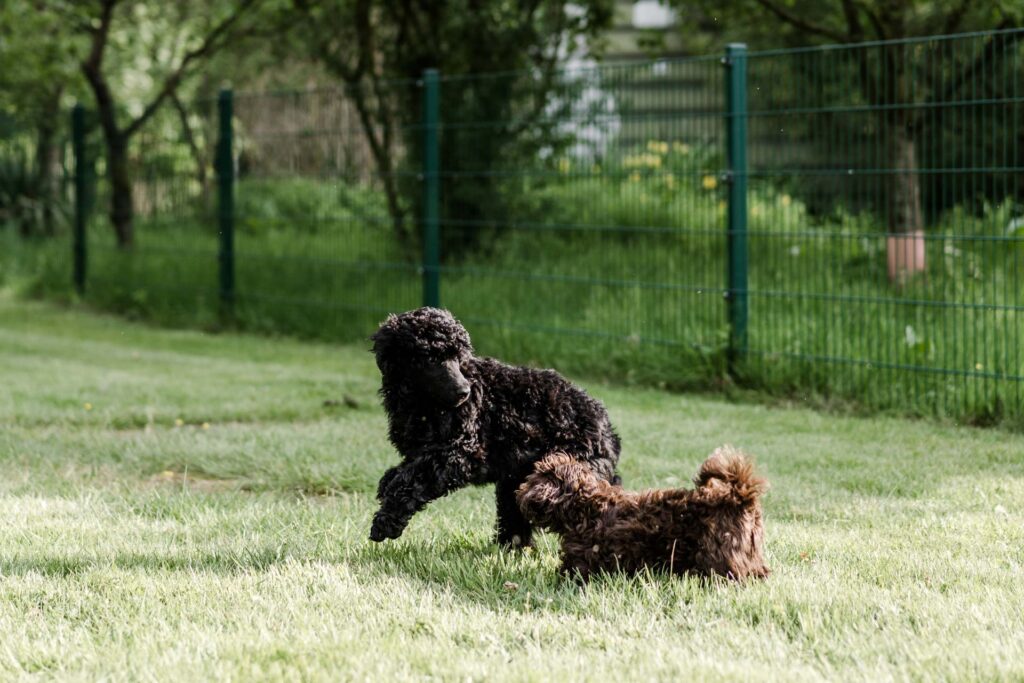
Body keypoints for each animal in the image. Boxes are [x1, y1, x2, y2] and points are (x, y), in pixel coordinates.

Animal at [370, 307, 618, 548]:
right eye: (430, 358)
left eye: (457, 358)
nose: (464, 392)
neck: (423, 404)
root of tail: (607, 428)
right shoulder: (422, 450)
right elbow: (400, 473)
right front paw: (385, 488)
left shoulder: (458, 454)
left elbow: (411, 480)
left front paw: (385, 522)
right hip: (516, 481)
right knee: (515, 516)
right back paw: (510, 548)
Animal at [520, 448, 770, 581]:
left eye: (532, 479)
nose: (518, 492)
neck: (584, 505)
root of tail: (740, 497)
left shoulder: (583, 558)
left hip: (719, 556)